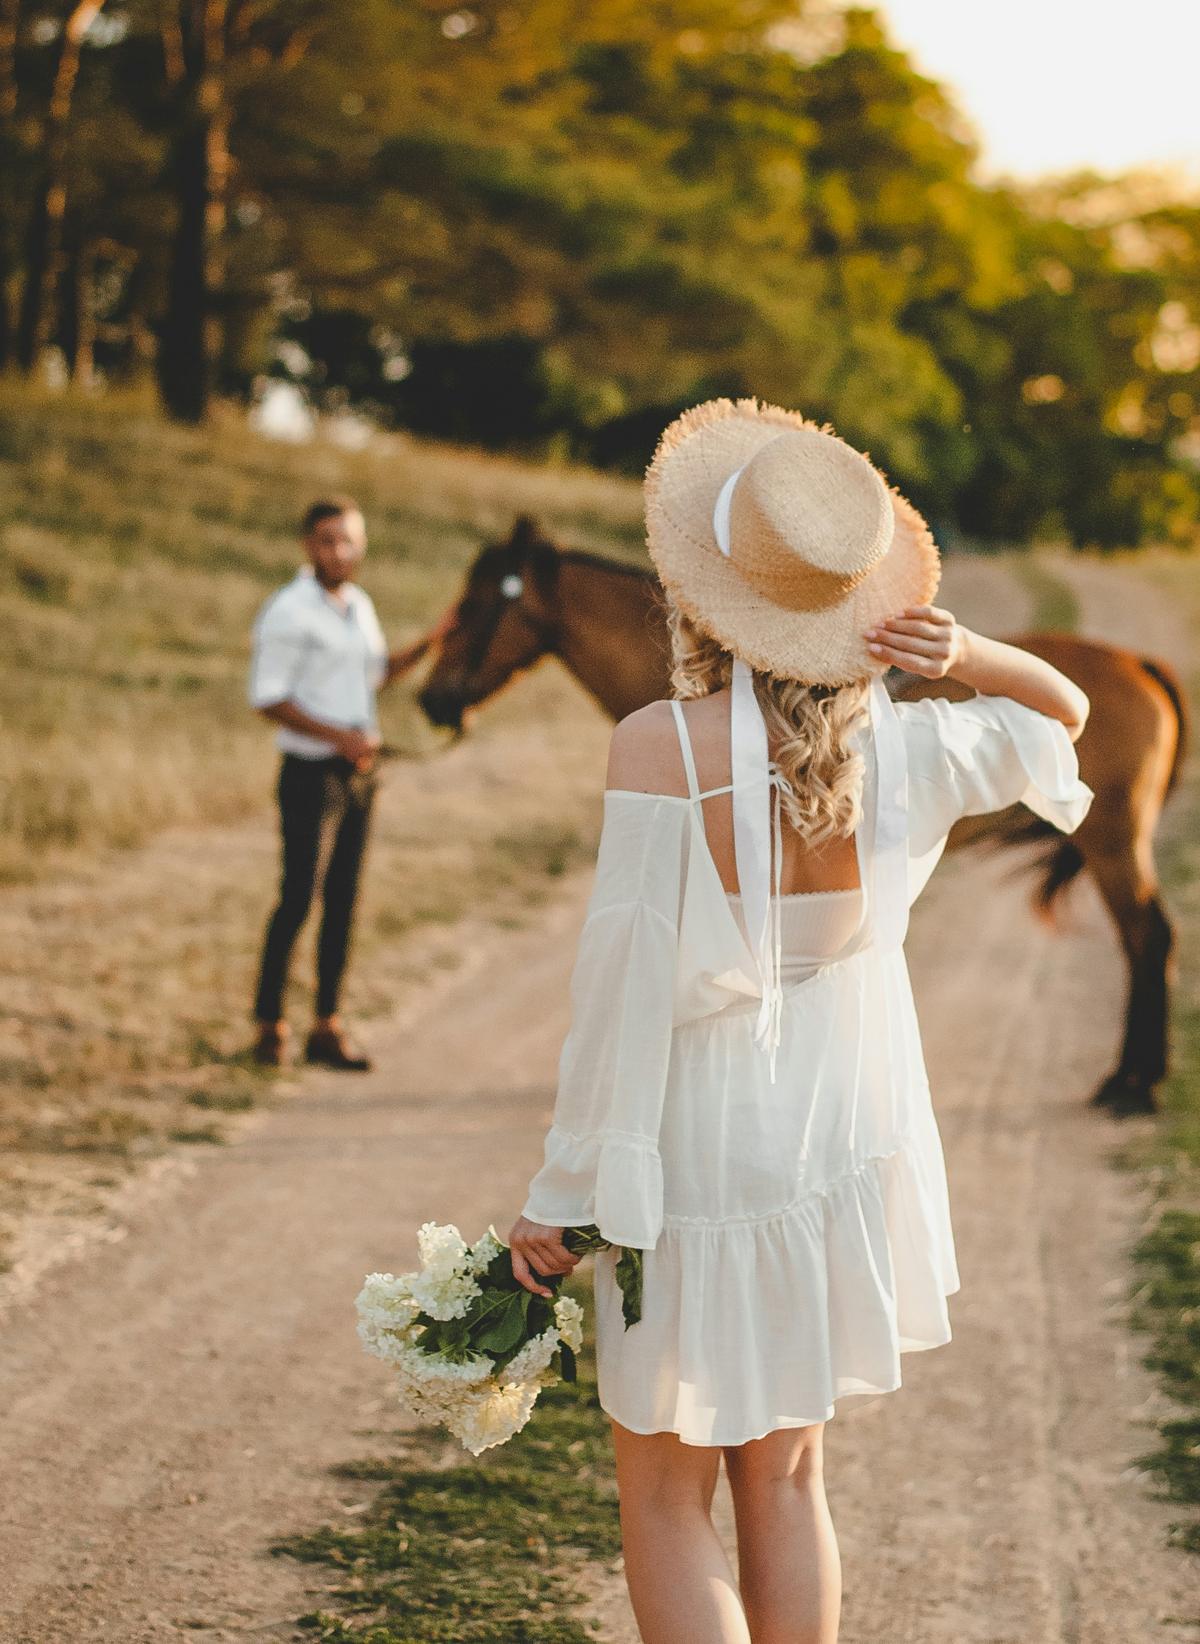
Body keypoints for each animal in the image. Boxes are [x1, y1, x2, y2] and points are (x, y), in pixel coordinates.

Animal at [424, 516, 1190, 1117]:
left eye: (477, 605)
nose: (432, 699)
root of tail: (1140, 664)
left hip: (1114, 843)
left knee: (1147, 937)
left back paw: (1134, 1087)